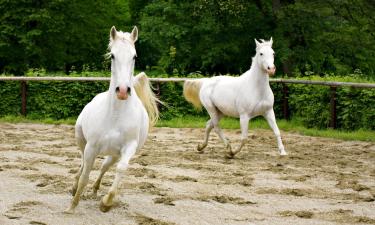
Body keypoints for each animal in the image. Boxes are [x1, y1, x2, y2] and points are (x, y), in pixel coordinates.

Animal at [65, 25, 159, 213]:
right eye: (113, 55)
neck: (115, 116)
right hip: (81, 140)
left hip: (114, 154)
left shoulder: (128, 148)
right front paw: (72, 207)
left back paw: (95, 190)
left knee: (104, 167)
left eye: (134, 56)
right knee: (83, 164)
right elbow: (85, 174)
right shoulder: (91, 147)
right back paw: (74, 187)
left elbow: (121, 169)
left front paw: (106, 202)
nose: (122, 90)